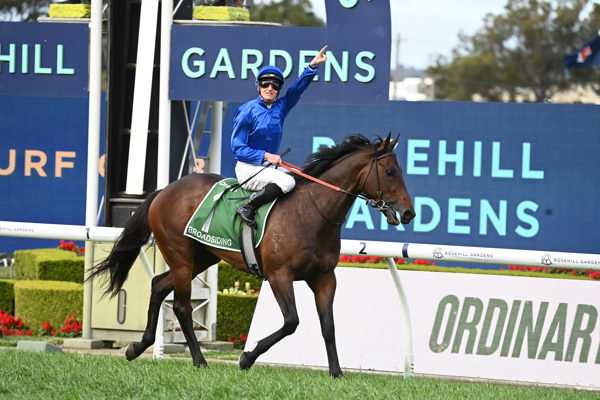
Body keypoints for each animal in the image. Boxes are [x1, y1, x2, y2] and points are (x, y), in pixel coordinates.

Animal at [89, 133, 414, 376]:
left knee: (158, 284)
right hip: (180, 256)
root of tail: (164, 190)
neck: (310, 214)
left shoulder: (324, 277)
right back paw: (199, 360)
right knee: (181, 306)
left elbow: (328, 326)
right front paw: (247, 357)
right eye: (390, 172)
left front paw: (336, 373)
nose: (409, 212)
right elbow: (291, 322)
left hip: (202, 257)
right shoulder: (279, 275)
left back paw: (137, 347)